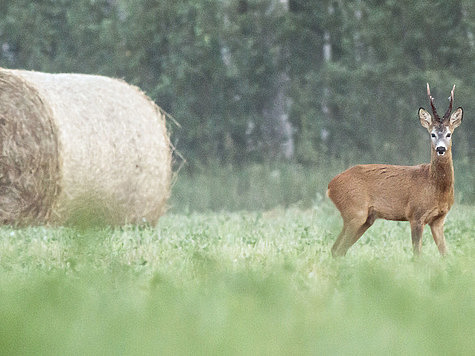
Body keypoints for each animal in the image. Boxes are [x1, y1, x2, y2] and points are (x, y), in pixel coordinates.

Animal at [328, 84, 464, 256]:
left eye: (449, 134)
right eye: (432, 134)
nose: (440, 149)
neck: (435, 186)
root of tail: (330, 186)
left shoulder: (439, 220)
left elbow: (445, 254)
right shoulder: (415, 214)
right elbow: (417, 254)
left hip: (366, 218)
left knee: (338, 249)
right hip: (354, 211)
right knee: (338, 248)